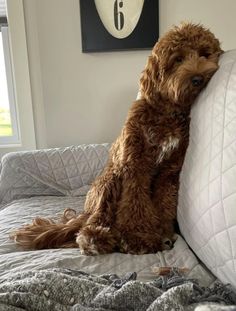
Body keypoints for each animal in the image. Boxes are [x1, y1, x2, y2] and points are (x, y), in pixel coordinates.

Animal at [12, 22, 222, 256]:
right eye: (177, 59)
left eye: (205, 54)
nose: (198, 78)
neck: (167, 113)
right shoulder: (134, 166)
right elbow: (134, 203)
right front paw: (138, 237)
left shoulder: (169, 172)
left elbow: (164, 203)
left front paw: (161, 233)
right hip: (108, 181)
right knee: (96, 219)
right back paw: (96, 237)